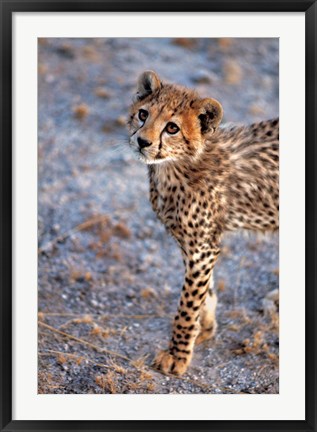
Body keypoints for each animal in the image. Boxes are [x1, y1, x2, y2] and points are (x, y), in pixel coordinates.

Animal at [127, 70, 278, 374]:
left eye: (172, 128)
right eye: (143, 114)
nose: (142, 142)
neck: (176, 167)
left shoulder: (202, 247)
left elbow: (187, 302)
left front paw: (178, 352)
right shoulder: (193, 243)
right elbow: (203, 290)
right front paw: (204, 327)